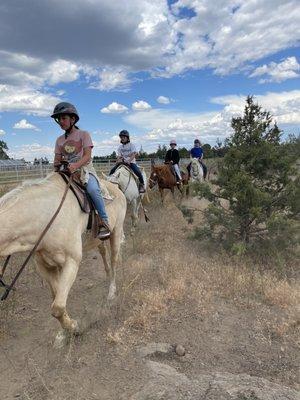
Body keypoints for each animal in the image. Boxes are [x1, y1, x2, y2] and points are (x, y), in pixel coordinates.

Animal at [0, 173, 126, 346]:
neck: (44, 218)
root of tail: (116, 188)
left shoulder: (71, 262)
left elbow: (57, 307)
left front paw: (75, 328)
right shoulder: (45, 267)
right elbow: (56, 299)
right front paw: (63, 333)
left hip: (116, 232)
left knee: (114, 261)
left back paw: (111, 293)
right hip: (98, 240)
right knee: (104, 255)